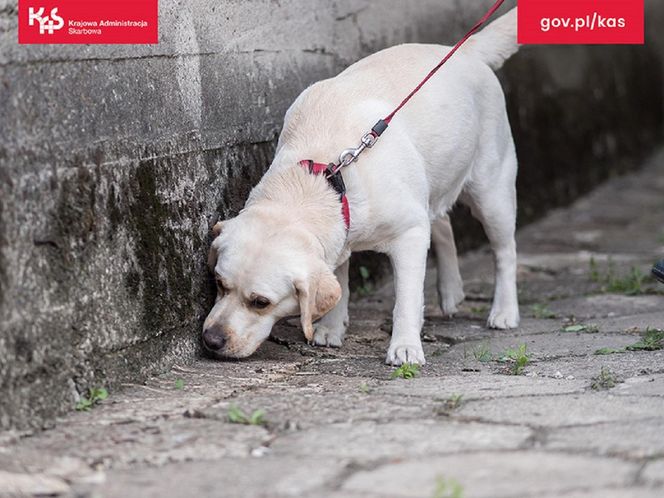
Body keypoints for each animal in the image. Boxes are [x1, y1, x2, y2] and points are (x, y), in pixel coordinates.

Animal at [202, 6, 520, 366]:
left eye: (260, 302)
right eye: (219, 283)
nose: (211, 340)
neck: (321, 179)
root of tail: (466, 49)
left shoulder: (410, 233)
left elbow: (407, 298)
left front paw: (405, 345)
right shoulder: (341, 234)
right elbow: (339, 281)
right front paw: (331, 327)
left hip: (491, 192)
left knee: (504, 251)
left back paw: (504, 311)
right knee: (442, 225)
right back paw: (451, 291)